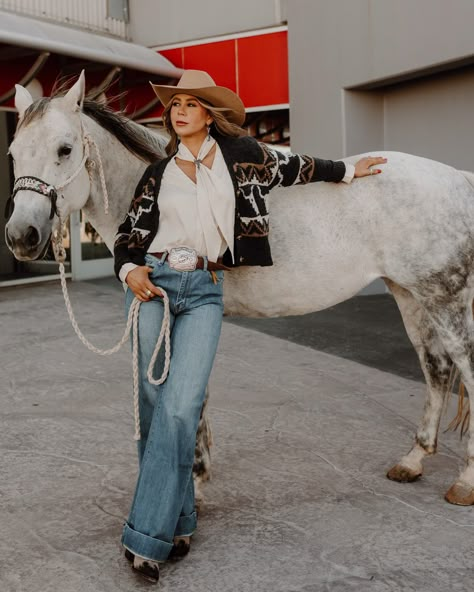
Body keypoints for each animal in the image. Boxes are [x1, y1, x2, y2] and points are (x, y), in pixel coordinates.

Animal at [5, 71, 474, 506]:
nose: (21, 236)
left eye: (65, 149)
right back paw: (413, 460)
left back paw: (465, 482)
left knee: (464, 368)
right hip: (410, 295)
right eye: (13, 153)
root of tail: (459, 178)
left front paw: (193, 482)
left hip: (445, 299)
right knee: (437, 369)